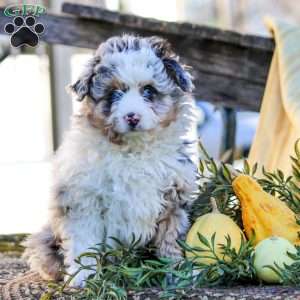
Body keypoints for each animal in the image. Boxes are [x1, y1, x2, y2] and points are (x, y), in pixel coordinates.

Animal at [23, 34, 199, 286]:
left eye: (148, 91)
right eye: (114, 94)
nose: (132, 117)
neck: (133, 149)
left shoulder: (174, 197)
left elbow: (171, 238)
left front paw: (177, 272)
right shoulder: (84, 199)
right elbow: (84, 242)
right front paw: (83, 277)